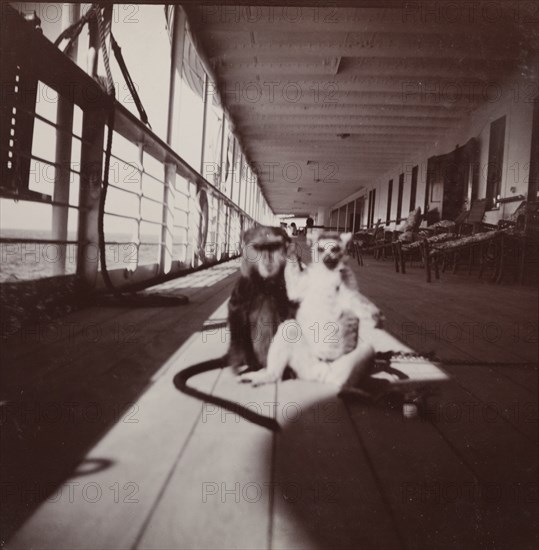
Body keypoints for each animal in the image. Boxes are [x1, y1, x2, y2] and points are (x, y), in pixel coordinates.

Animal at [238, 231, 382, 390]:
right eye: (320, 249)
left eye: (335, 249)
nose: (327, 258)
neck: (327, 274)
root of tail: (322, 375)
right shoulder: (310, 279)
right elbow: (294, 289)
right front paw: (291, 249)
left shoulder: (346, 279)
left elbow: (353, 299)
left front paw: (374, 316)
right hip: (306, 364)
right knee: (289, 329)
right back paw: (270, 376)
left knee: (367, 349)